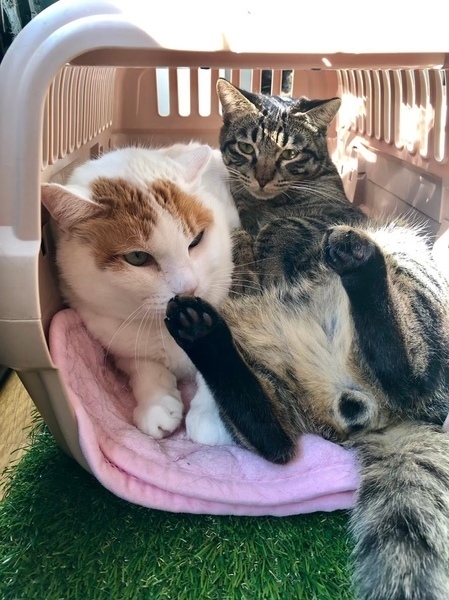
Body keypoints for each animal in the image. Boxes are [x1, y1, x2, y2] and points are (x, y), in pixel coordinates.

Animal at [41, 143, 237, 441]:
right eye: (137, 257)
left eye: (196, 240)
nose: (189, 288)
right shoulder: (112, 337)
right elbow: (141, 365)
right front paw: (155, 404)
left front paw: (209, 417)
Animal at [164, 82, 449, 599]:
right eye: (247, 147)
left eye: (289, 153)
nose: (261, 178)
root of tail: (394, 416)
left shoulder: (299, 229)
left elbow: (272, 243)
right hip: (273, 374)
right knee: (274, 439)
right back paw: (199, 329)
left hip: (407, 260)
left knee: (406, 370)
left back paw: (356, 259)